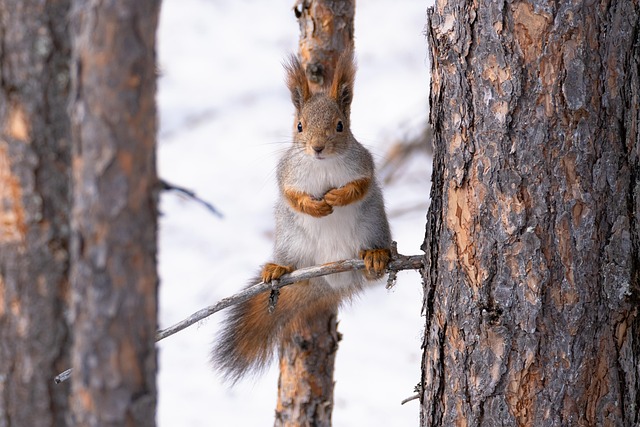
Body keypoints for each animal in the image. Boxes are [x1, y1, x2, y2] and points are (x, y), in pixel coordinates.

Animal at [212, 50, 392, 383]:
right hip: (291, 241)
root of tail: (332, 277)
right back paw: (278, 269)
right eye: (299, 126)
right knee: (290, 261)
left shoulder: (363, 164)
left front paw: (337, 197)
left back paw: (376, 257)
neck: (322, 165)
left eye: (340, 126)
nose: (317, 148)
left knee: (374, 269)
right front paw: (316, 206)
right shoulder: (286, 173)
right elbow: (292, 196)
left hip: (372, 226)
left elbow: (360, 186)